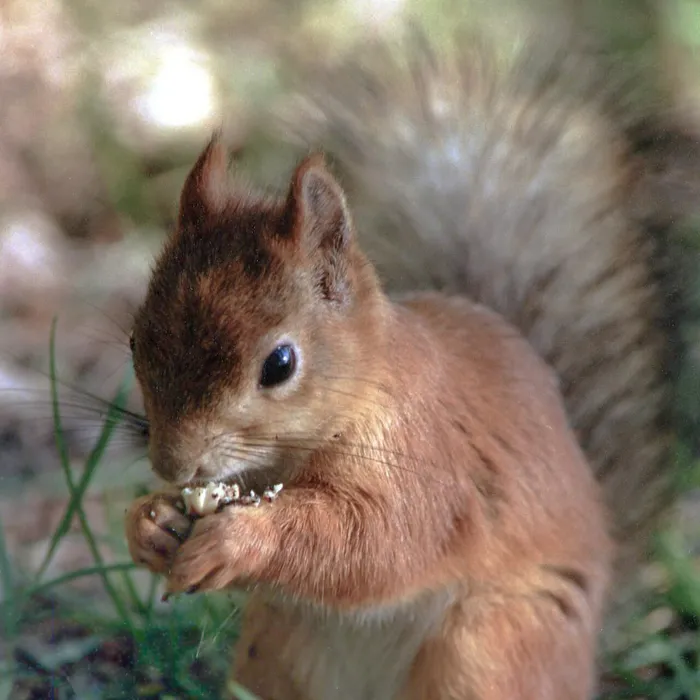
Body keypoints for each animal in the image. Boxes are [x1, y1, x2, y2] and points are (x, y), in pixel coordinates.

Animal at [123, 30, 699, 700]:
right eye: (135, 341)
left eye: (280, 363)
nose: (172, 464)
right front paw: (150, 521)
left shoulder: (428, 465)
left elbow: (379, 543)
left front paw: (240, 539)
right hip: (277, 649)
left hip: (488, 649)